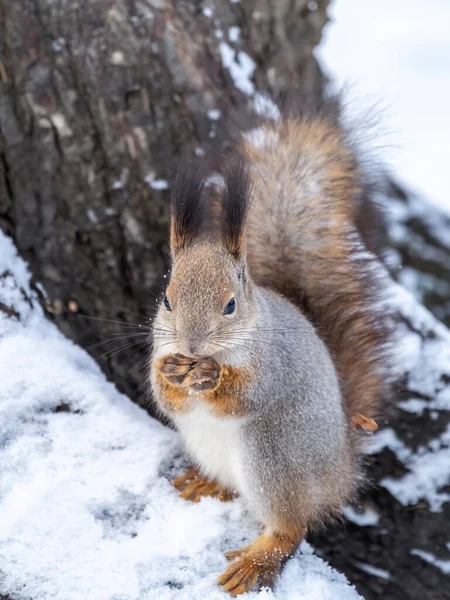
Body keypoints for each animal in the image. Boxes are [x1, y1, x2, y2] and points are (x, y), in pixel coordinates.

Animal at [150, 98, 390, 596]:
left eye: (230, 304)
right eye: (166, 299)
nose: (191, 344)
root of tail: (340, 471)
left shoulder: (272, 364)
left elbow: (245, 395)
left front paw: (212, 377)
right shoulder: (159, 344)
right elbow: (165, 396)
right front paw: (172, 376)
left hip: (275, 453)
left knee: (291, 527)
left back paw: (257, 561)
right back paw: (205, 485)